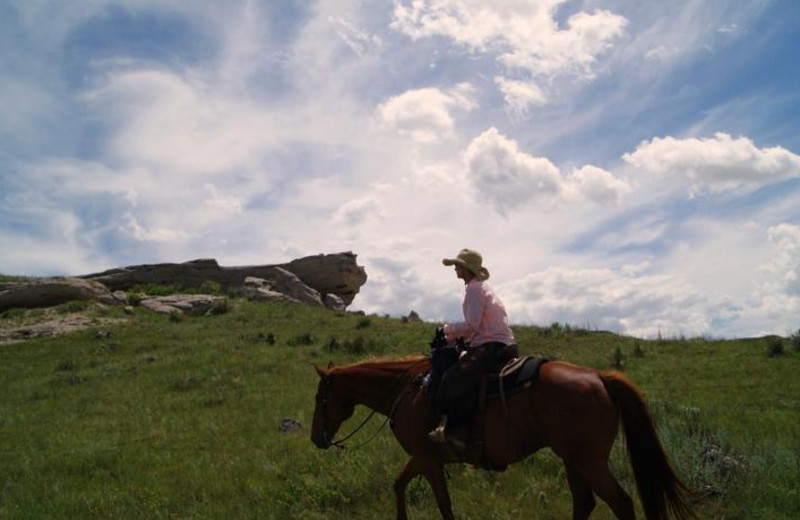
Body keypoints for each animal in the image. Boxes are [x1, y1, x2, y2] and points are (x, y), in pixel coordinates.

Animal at [310, 356, 692, 520]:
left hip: (589, 462)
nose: (316, 438)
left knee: (621, 503)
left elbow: (442, 503)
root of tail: (599, 377)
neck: (408, 389)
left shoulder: (426, 458)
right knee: (584, 503)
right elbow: (400, 485)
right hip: (573, 461)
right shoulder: (425, 459)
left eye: (320, 399)